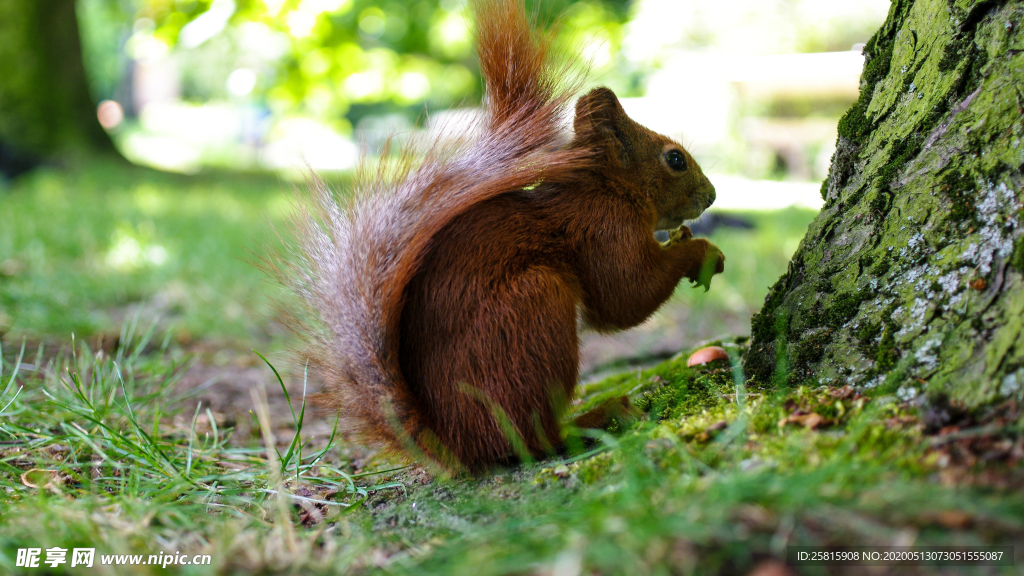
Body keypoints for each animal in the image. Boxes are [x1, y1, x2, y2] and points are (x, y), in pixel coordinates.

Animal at [276, 0, 724, 471]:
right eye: (675, 159)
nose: (712, 196)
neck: (606, 189)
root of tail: (457, 443)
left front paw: (687, 238)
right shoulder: (603, 229)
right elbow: (624, 296)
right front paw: (699, 251)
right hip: (533, 309)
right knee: (532, 440)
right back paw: (597, 418)